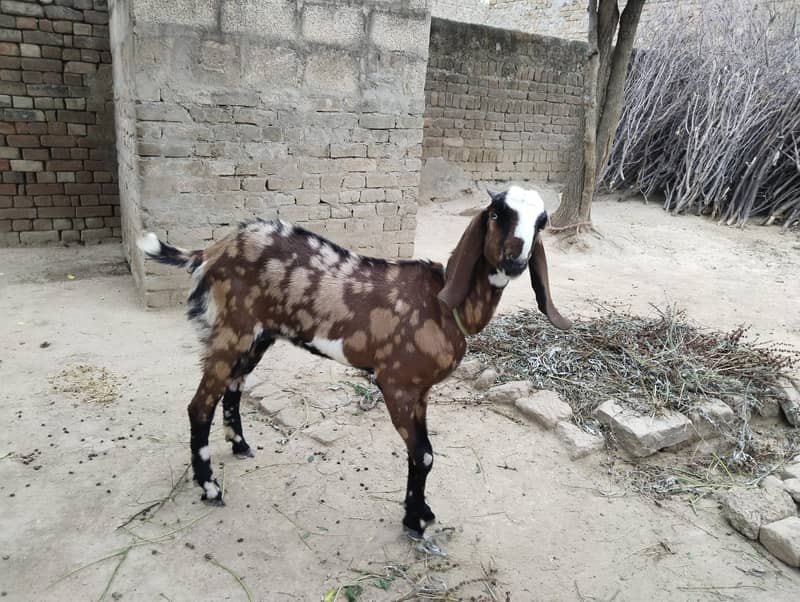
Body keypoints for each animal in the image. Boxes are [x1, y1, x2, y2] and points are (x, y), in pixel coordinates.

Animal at [137, 185, 570, 536]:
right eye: (497, 213)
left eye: (542, 222)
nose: (515, 260)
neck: (444, 305)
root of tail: (213, 248)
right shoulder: (395, 383)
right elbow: (423, 454)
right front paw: (414, 524)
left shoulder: (421, 391)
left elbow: (423, 454)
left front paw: (421, 512)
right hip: (230, 332)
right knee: (199, 406)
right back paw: (210, 488)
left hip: (258, 337)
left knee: (233, 387)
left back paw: (241, 446)